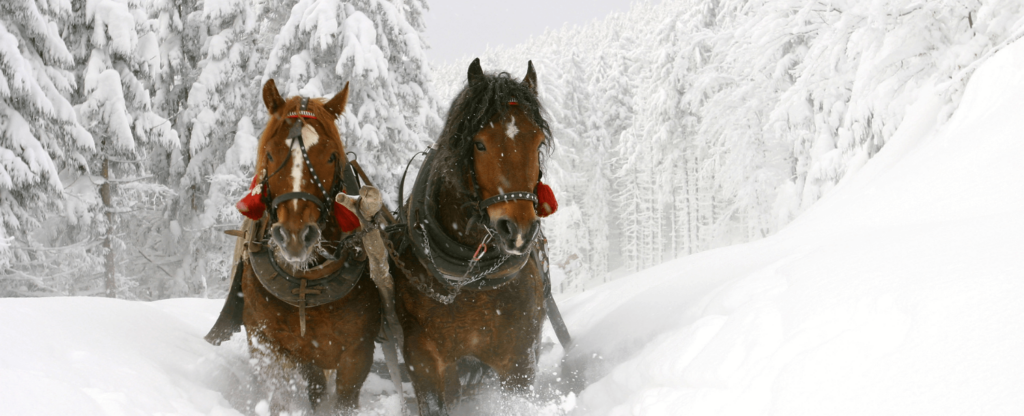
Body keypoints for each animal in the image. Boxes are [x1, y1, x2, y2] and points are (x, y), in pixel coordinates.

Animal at [205, 79, 382, 413]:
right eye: (271, 154)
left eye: (331, 156)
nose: (296, 235)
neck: (305, 281)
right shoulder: (269, 344)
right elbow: (284, 395)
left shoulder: (358, 353)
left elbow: (345, 397)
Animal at [389, 59, 561, 416]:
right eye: (480, 143)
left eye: (538, 143)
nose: (518, 230)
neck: (468, 280)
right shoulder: (423, 360)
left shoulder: (519, 360)